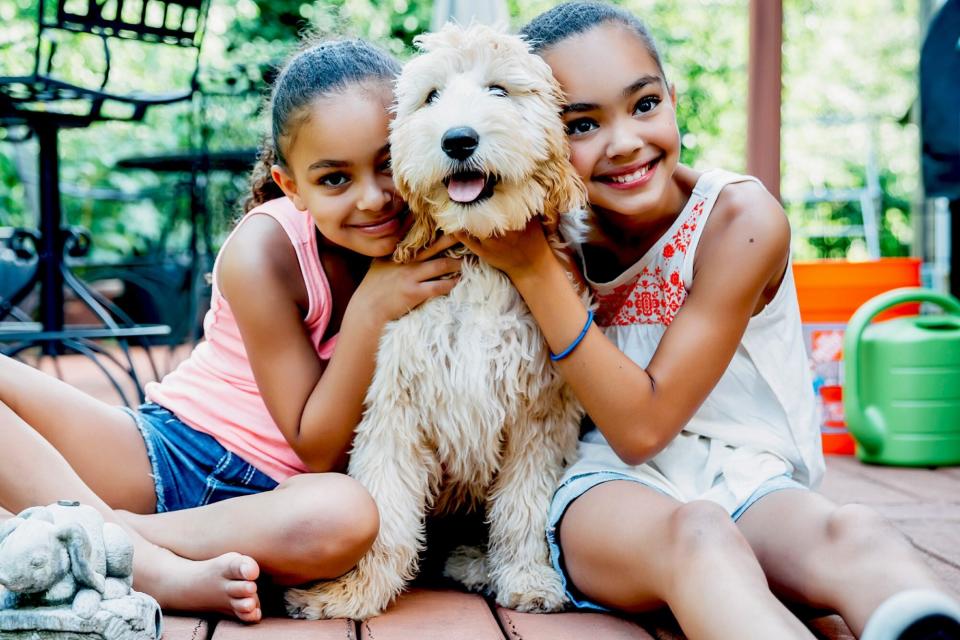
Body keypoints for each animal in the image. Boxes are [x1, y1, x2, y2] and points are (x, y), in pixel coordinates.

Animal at [284, 25, 584, 620]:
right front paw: (351, 593)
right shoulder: (396, 409)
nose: (458, 140)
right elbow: (385, 516)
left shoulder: (539, 413)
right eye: (432, 97)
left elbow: (524, 507)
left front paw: (529, 578)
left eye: (499, 89)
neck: (476, 262)